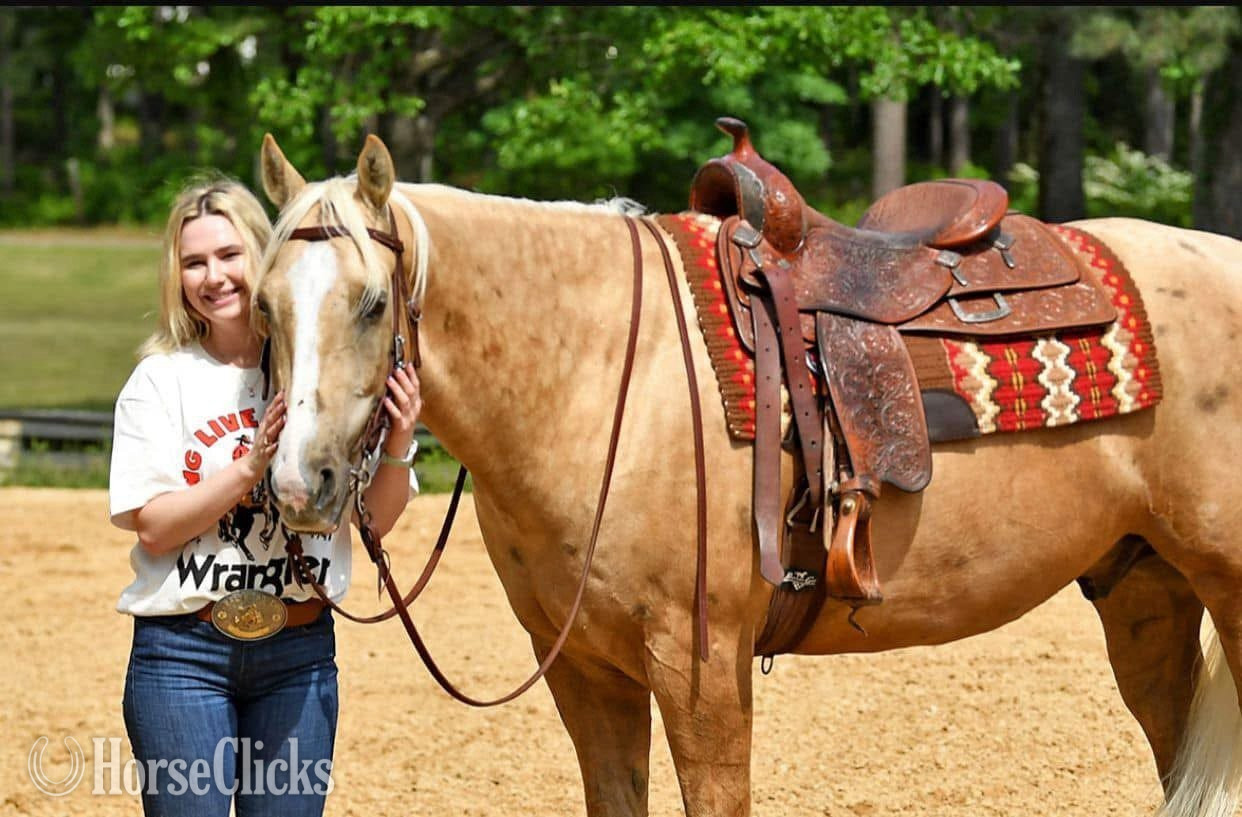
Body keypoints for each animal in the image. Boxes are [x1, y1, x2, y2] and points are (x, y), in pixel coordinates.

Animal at [253, 131, 1242, 817]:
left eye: (373, 303)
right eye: (263, 306)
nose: (301, 484)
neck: (601, 372)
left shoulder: (700, 669)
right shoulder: (584, 672)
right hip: (1145, 590)